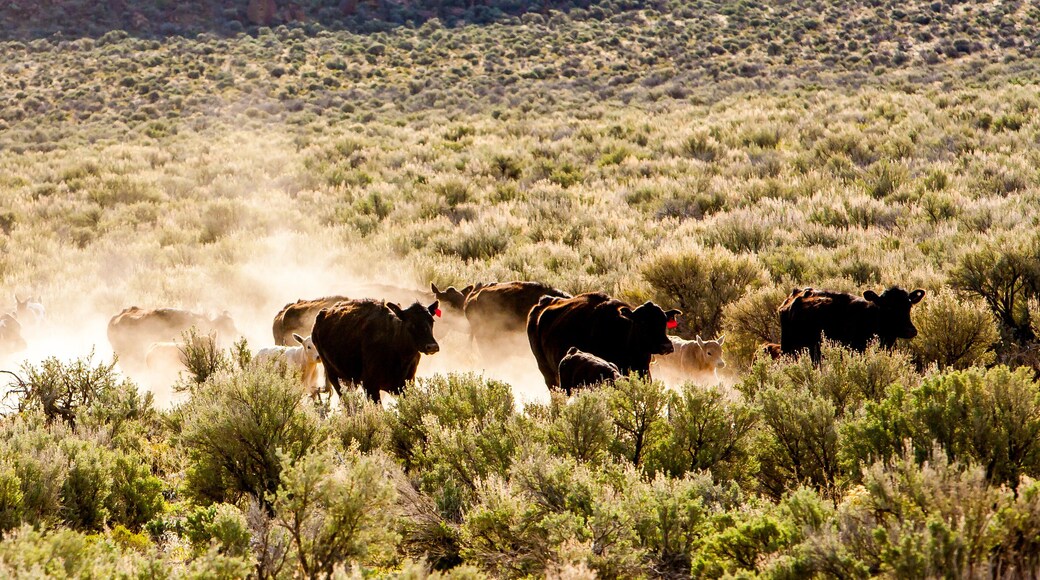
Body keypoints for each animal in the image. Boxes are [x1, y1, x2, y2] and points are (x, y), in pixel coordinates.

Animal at [310, 299, 440, 402]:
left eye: (432, 321)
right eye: (411, 323)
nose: (432, 346)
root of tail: (323, 313)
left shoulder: (407, 384)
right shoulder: (370, 386)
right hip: (334, 375)